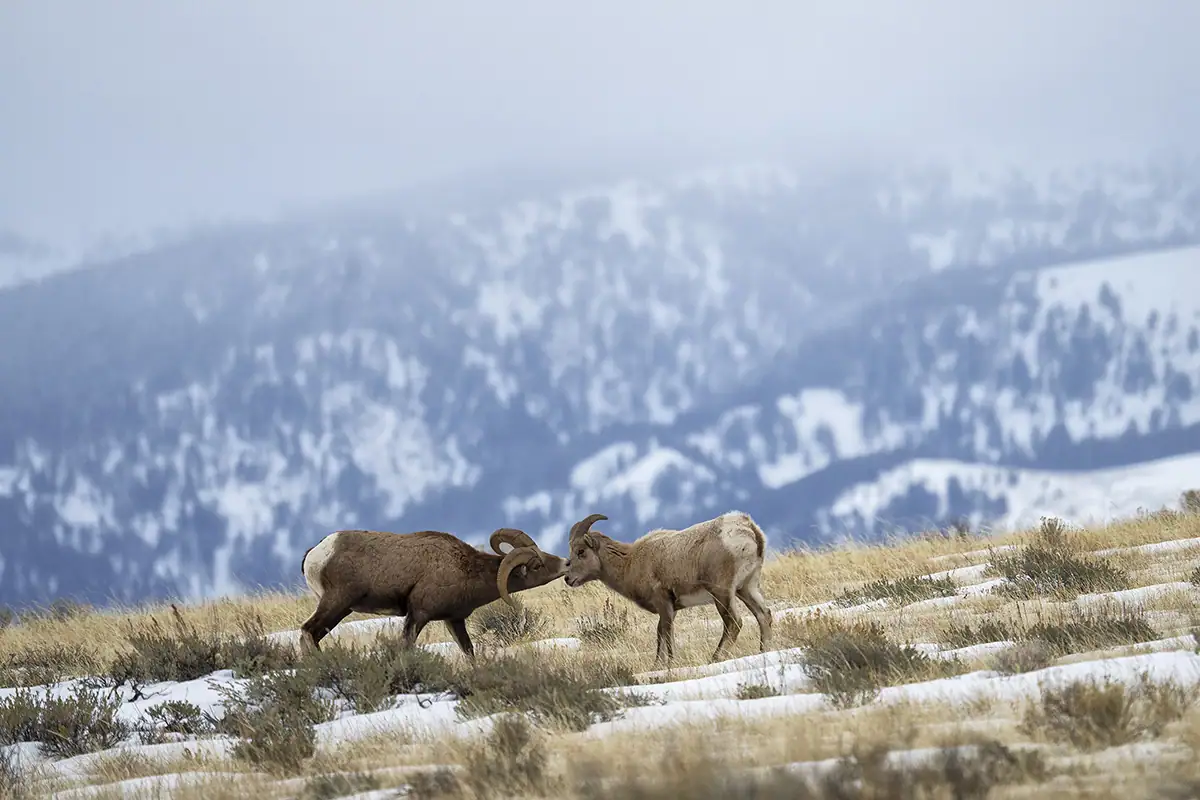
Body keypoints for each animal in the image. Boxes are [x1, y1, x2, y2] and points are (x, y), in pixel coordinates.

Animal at [298, 526, 567, 657]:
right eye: (537, 565)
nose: (566, 563)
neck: (464, 568)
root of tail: (316, 552)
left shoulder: (454, 621)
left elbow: (469, 652)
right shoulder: (418, 616)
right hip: (336, 604)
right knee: (308, 632)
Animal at [563, 511, 772, 666]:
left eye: (581, 551)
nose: (568, 579)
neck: (630, 562)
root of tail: (748, 528)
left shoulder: (663, 602)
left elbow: (666, 633)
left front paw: (670, 664)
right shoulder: (671, 607)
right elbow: (660, 635)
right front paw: (658, 665)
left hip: (722, 592)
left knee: (734, 623)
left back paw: (714, 659)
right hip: (746, 588)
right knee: (764, 615)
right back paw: (764, 651)